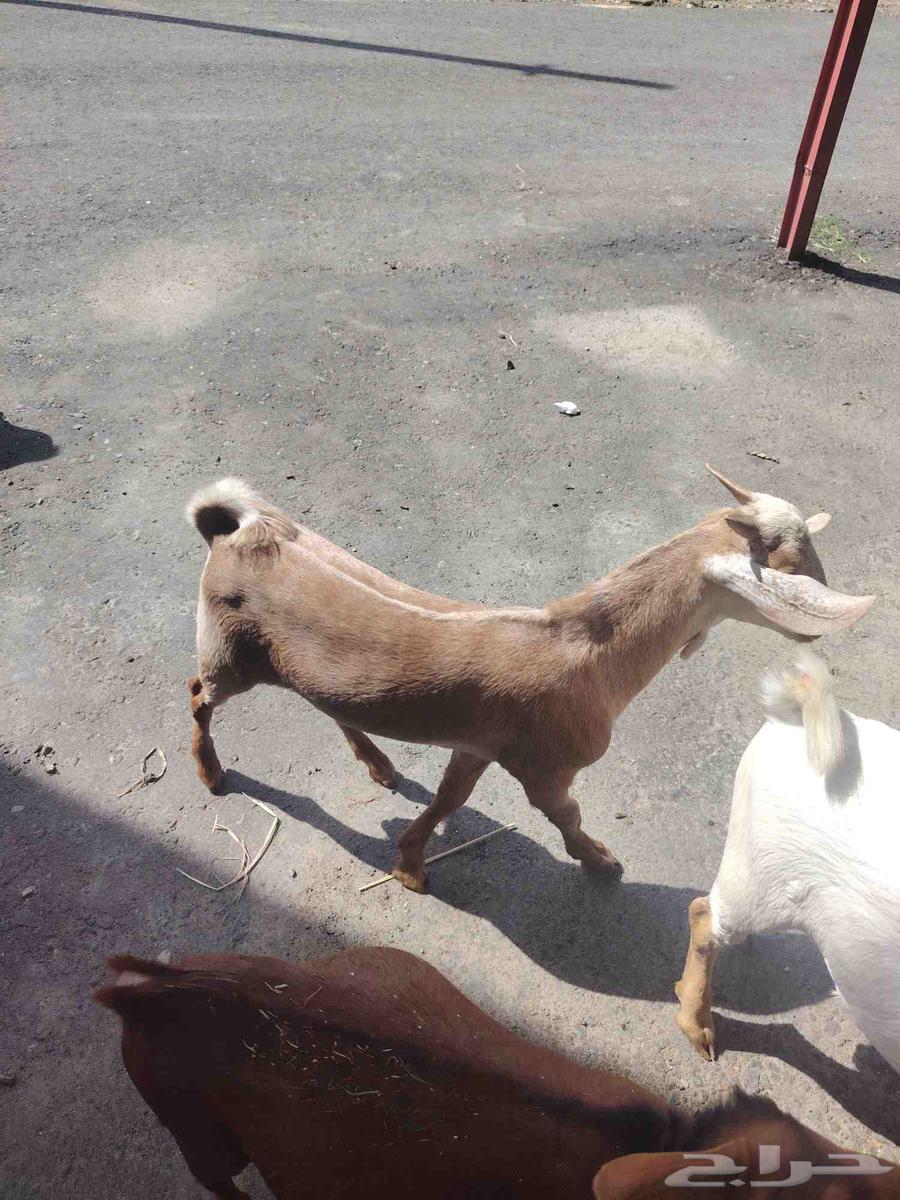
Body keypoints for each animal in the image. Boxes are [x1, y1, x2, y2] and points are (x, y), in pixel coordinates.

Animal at [185, 466, 873, 892]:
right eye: (793, 564)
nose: (815, 631)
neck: (590, 655)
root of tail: (229, 533)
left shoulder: (480, 744)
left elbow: (449, 798)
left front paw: (409, 862)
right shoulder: (546, 764)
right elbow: (564, 814)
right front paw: (601, 863)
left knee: (326, 703)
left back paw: (379, 765)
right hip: (227, 651)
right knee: (199, 695)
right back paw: (212, 773)